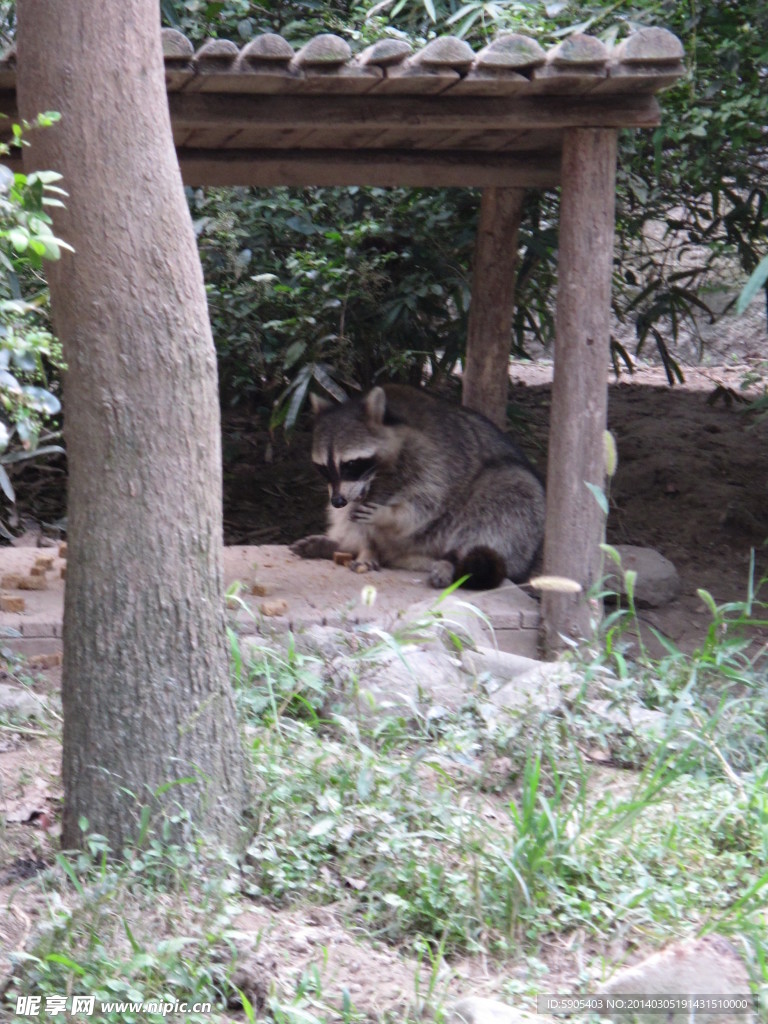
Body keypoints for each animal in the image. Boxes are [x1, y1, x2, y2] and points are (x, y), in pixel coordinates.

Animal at [288, 385, 548, 593]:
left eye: (350, 464)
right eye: (323, 468)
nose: (338, 500)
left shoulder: (436, 457)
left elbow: (424, 502)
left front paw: (387, 515)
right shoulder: (351, 490)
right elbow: (351, 515)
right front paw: (365, 547)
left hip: (508, 504)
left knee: (507, 497)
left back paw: (451, 561)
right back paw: (350, 546)